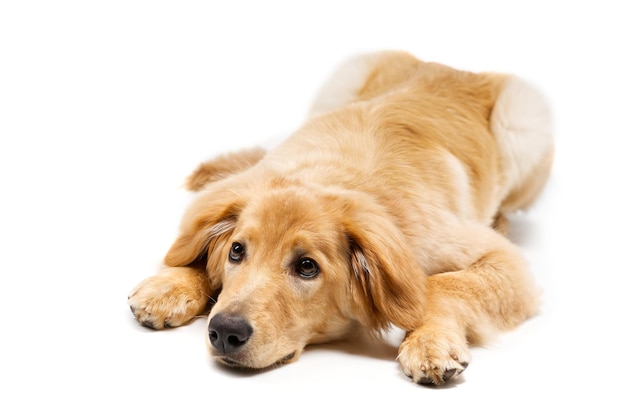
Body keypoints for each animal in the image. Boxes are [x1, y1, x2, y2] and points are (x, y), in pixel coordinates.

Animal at [127, 50, 552, 386]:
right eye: (236, 252)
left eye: (307, 267)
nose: (224, 332)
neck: (330, 178)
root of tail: (446, 64)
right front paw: (171, 286)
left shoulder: (503, 262)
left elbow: (438, 286)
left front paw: (429, 341)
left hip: (524, 119)